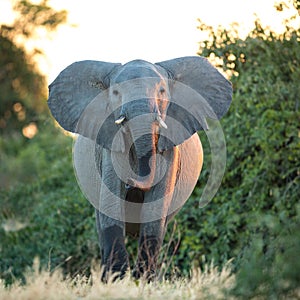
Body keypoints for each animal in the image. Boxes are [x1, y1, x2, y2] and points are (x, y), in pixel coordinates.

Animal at [47, 55, 232, 282]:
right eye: (116, 93)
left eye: (162, 90)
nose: (131, 185)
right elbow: (111, 206)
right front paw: (116, 281)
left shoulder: (171, 150)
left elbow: (154, 213)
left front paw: (143, 281)